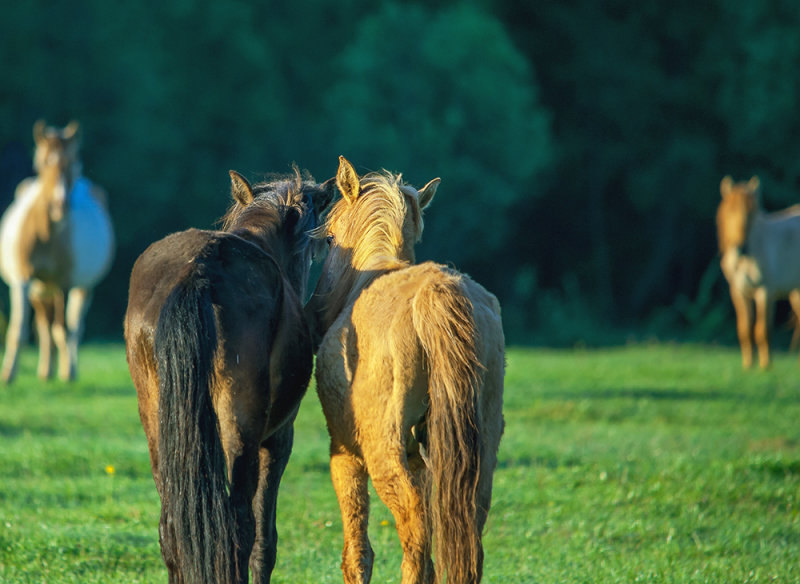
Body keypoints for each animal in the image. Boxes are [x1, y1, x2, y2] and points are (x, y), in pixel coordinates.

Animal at [0, 120, 115, 384]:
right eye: (42, 163)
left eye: (72, 163)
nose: (59, 205)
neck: (47, 234)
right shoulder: (24, 280)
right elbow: (19, 330)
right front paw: (8, 375)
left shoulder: (65, 282)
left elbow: (62, 329)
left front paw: (68, 373)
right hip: (40, 288)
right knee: (43, 325)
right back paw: (45, 371)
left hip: (81, 288)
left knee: (73, 327)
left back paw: (62, 368)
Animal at [122, 167, 334, 580]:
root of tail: (199, 269)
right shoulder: (279, 439)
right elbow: (265, 540)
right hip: (243, 425)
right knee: (239, 528)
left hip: (157, 425)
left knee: (171, 528)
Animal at [308, 157, 506, 580]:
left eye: (330, 238)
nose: (315, 310)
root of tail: (438, 291)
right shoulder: (422, 458)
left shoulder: (345, 454)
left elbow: (358, 553)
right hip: (478, 453)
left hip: (384, 457)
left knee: (414, 541)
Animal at [716, 173, 800, 368]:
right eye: (731, 211)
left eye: (751, 214)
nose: (740, 248)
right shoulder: (738, 291)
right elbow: (744, 329)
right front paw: (748, 365)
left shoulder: (765, 291)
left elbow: (762, 330)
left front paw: (765, 366)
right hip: (795, 292)